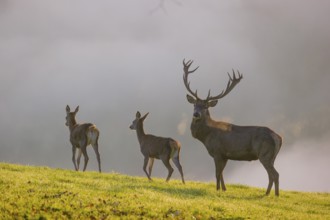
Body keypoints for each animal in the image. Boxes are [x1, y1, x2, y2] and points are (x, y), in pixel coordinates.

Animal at [182, 59, 282, 196]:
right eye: (194, 105)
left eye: (206, 106)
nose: (196, 114)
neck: (206, 137)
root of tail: (279, 138)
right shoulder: (225, 155)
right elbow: (222, 174)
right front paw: (224, 189)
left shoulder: (217, 151)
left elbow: (217, 174)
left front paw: (217, 190)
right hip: (272, 156)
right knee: (271, 175)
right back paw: (267, 194)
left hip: (265, 153)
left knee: (275, 174)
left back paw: (274, 195)